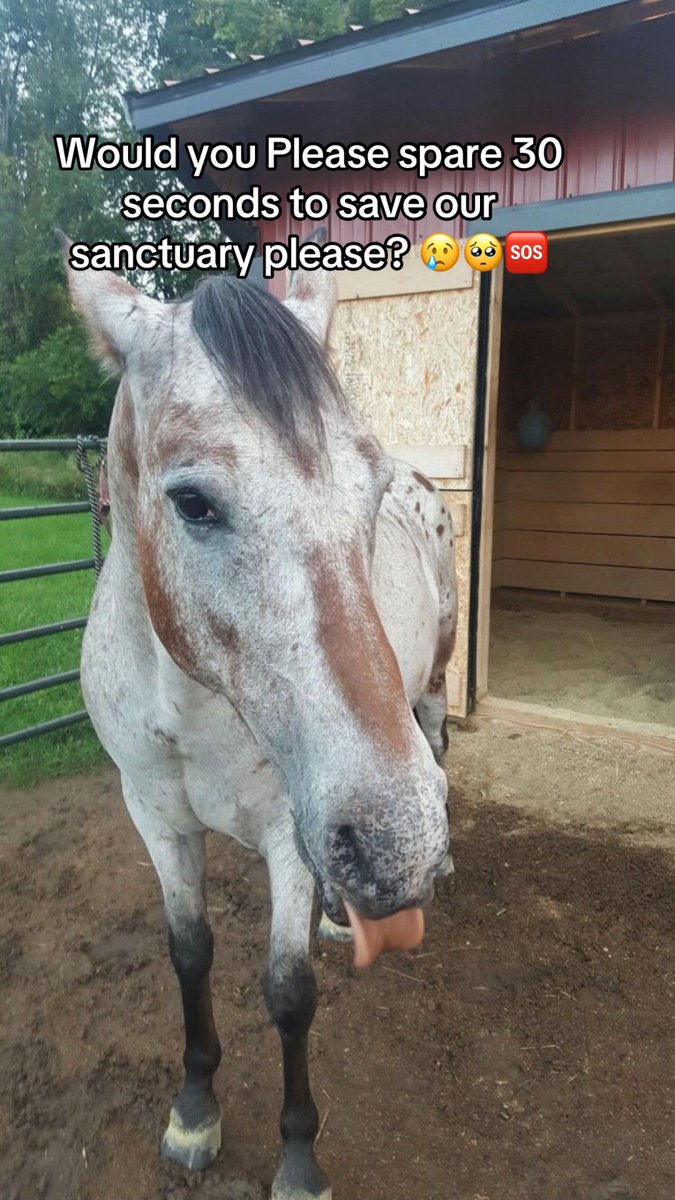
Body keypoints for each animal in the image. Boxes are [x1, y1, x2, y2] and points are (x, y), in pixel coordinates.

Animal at [58, 230, 457, 1200]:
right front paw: (194, 1111)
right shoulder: (155, 816)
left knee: (436, 740)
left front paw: (299, 1159)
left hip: (427, 693)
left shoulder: (287, 829)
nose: (397, 845)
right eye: (192, 501)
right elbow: (189, 951)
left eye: (367, 490)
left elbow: (287, 991)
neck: (191, 707)